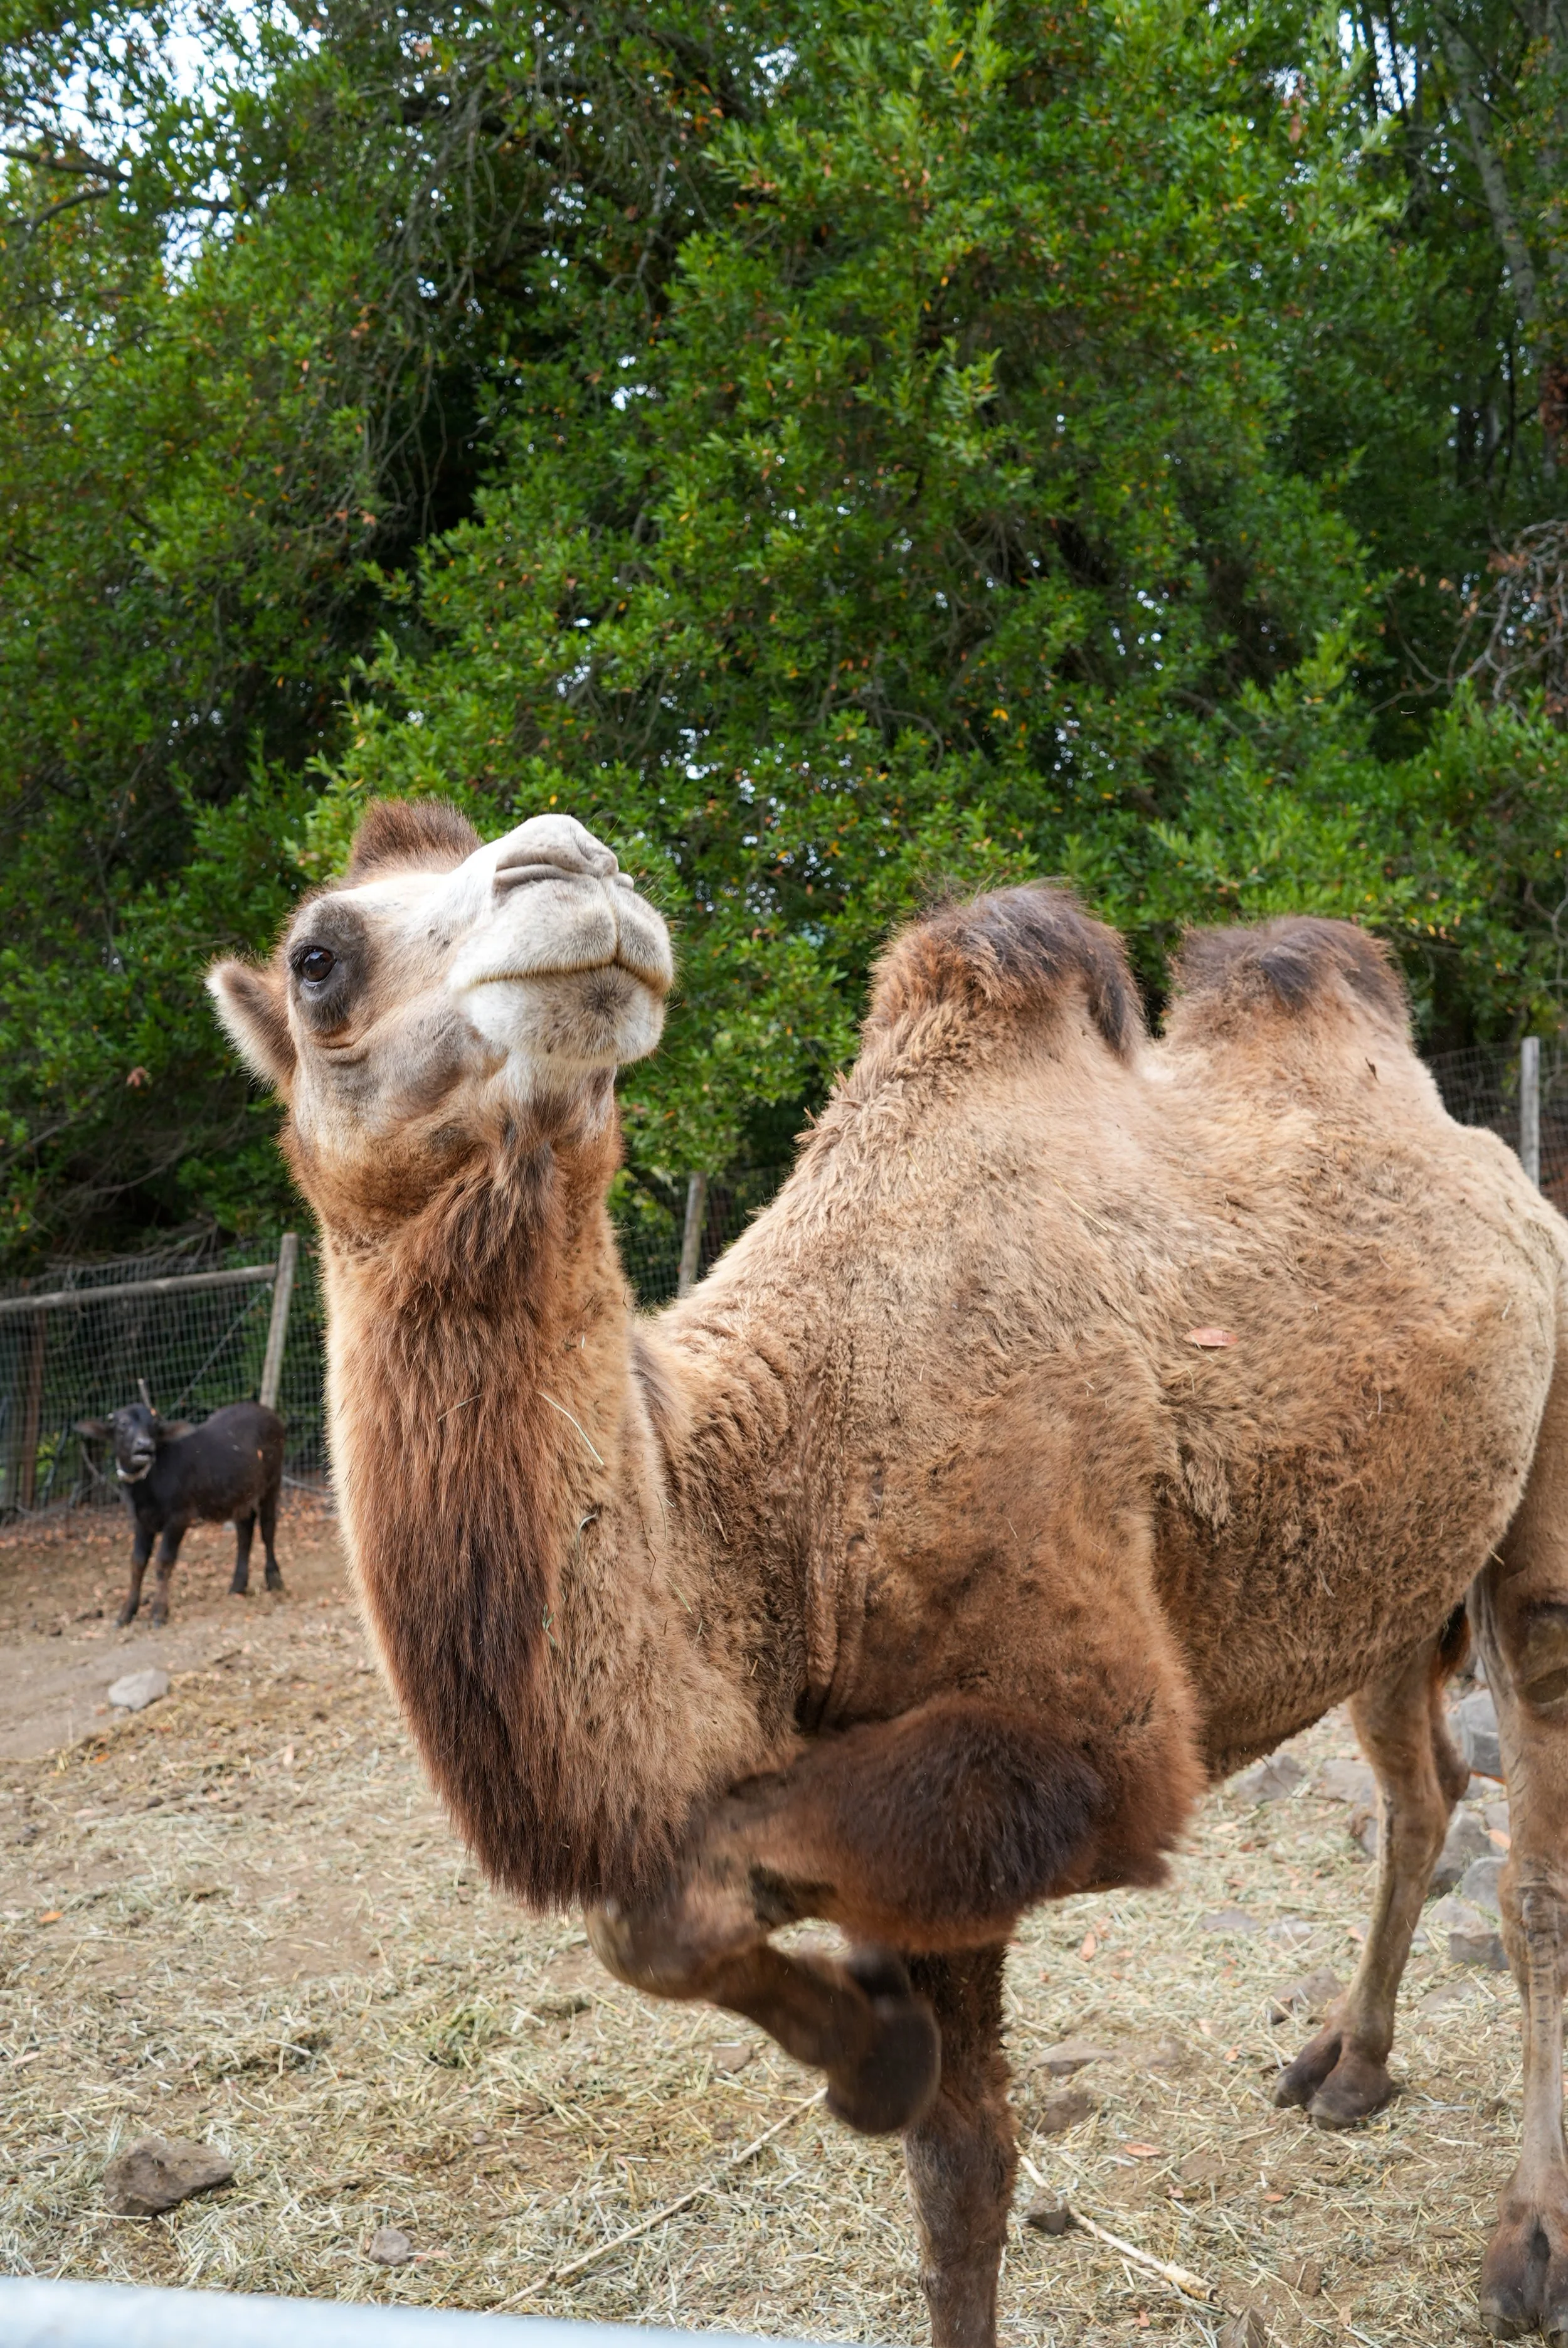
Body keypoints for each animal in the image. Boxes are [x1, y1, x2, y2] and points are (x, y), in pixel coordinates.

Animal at [208, 797, 1568, 2347]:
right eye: (318, 957)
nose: (573, 861)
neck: (782, 1488)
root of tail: (1496, 1161)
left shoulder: (1094, 1739)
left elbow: (675, 1911)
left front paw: (862, 2049)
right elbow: (948, 2162)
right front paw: (876, 2049)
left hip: (1535, 1501)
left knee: (1530, 1865)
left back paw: (1525, 2241)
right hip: (1384, 1563)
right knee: (1420, 1786)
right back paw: (1347, 2061)